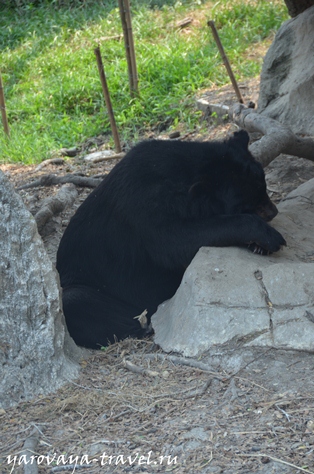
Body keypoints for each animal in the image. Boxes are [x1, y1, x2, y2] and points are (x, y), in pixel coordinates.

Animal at [55, 130, 284, 348]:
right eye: (246, 204)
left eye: (262, 185)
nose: (273, 211)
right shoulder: (144, 206)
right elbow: (175, 242)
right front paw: (271, 237)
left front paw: (260, 247)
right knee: (74, 300)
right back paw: (143, 326)